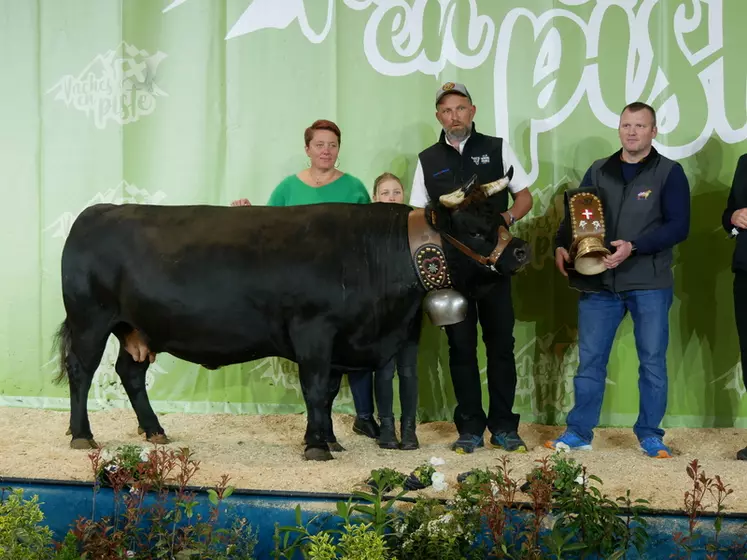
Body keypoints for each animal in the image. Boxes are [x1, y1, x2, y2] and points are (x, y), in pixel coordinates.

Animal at [52, 171, 528, 460]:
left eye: (502, 216)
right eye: (475, 229)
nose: (521, 252)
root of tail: (96, 212)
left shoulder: (341, 340)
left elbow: (330, 390)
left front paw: (330, 439)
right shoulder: (313, 331)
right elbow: (315, 389)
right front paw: (317, 446)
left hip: (135, 327)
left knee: (129, 372)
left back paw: (154, 430)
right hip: (90, 319)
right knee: (82, 370)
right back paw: (81, 435)